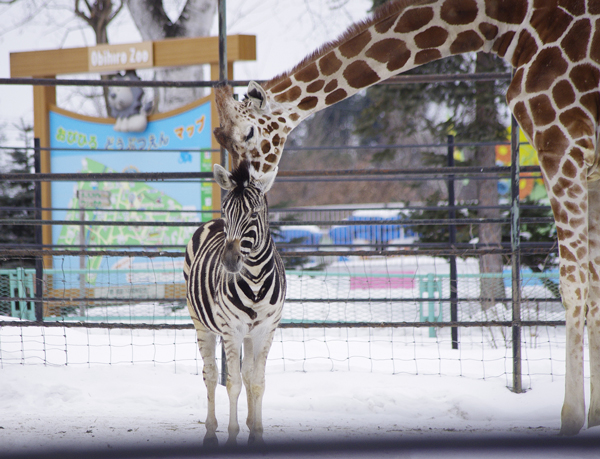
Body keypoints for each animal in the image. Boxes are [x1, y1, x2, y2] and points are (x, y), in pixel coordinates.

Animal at [183, 160, 286, 448]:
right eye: (227, 210)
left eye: (253, 213)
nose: (229, 261)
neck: (255, 278)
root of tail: (211, 222)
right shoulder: (232, 330)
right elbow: (233, 384)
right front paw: (232, 436)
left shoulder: (266, 330)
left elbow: (257, 382)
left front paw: (257, 435)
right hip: (201, 324)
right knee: (210, 374)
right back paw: (210, 433)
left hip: (250, 335)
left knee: (248, 374)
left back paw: (250, 423)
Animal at [213, 0, 600, 436]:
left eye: (247, 134)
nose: (240, 183)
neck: (509, 25)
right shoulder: (589, 166)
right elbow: (595, 287)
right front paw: (594, 417)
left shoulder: (561, 147)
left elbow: (575, 287)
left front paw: (572, 419)